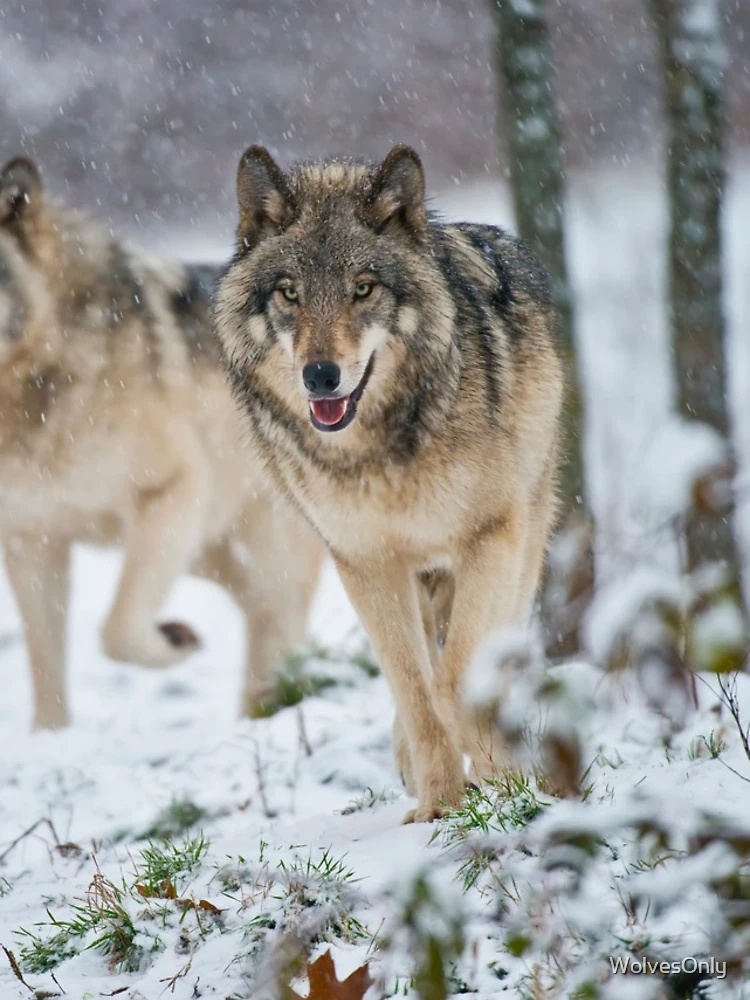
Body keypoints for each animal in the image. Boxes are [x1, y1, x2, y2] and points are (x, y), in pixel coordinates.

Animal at [0, 156, 323, 730]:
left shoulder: (175, 490)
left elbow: (117, 631)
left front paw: (170, 644)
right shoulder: (30, 542)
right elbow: (46, 669)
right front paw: (50, 740)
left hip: (249, 535)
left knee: (279, 616)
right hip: (205, 544)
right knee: (258, 610)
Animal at [215, 144, 564, 822]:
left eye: (363, 289)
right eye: (290, 294)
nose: (320, 376)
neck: (379, 455)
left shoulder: (489, 539)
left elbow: (454, 682)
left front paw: (501, 781)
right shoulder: (364, 562)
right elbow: (416, 689)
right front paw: (438, 807)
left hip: (525, 536)